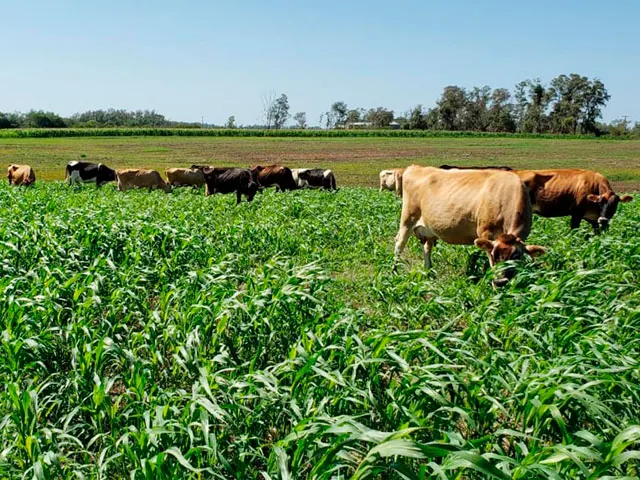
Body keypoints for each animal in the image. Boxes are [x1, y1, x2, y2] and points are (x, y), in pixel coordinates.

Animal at [396, 165, 544, 286]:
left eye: (515, 256)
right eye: (494, 255)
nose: (500, 282)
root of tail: (416, 167)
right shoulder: (486, 234)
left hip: (429, 230)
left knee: (427, 247)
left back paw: (428, 272)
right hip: (408, 219)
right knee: (399, 243)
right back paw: (395, 271)